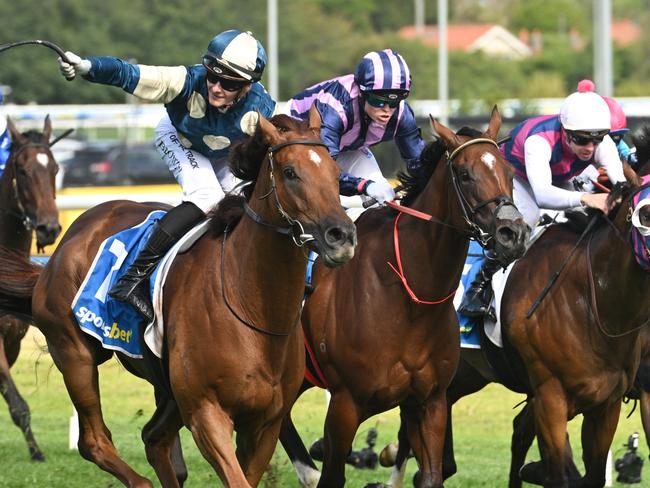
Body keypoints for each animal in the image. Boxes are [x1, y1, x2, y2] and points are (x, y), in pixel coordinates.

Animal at [0, 108, 356, 486]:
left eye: (336, 174)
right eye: (290, 173)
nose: (341, 236)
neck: (253, 308)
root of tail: (65, 243)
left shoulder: (264, 425)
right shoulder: (206, 413)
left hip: (166, 389)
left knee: (153, 439)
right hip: (75, 353)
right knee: (94, 441)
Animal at [278, 107, 528, 488]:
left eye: (509, 172)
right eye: (464, 174)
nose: (512, 234)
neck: (408, 300)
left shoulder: (429, 401)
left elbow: (432, 474)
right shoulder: (345, 405)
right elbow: (334, 474)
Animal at [382, 127, 648, 486]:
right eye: (646, 214)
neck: (595, 305)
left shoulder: (608, 403)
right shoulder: (550, 397)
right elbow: (559, 469)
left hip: (461, 376)